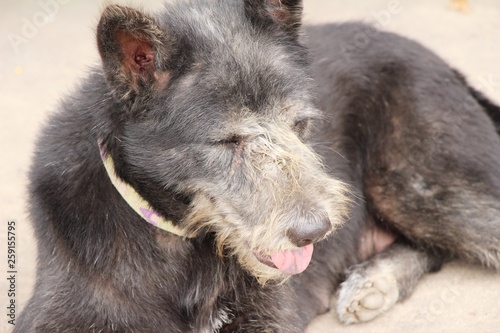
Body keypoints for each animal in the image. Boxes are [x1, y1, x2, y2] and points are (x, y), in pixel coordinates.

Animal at [15, 0, 500, 332]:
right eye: (229, 141)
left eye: (300, 124)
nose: (316, 232)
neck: (176, 240)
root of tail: (447, 66)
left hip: (417, 184)